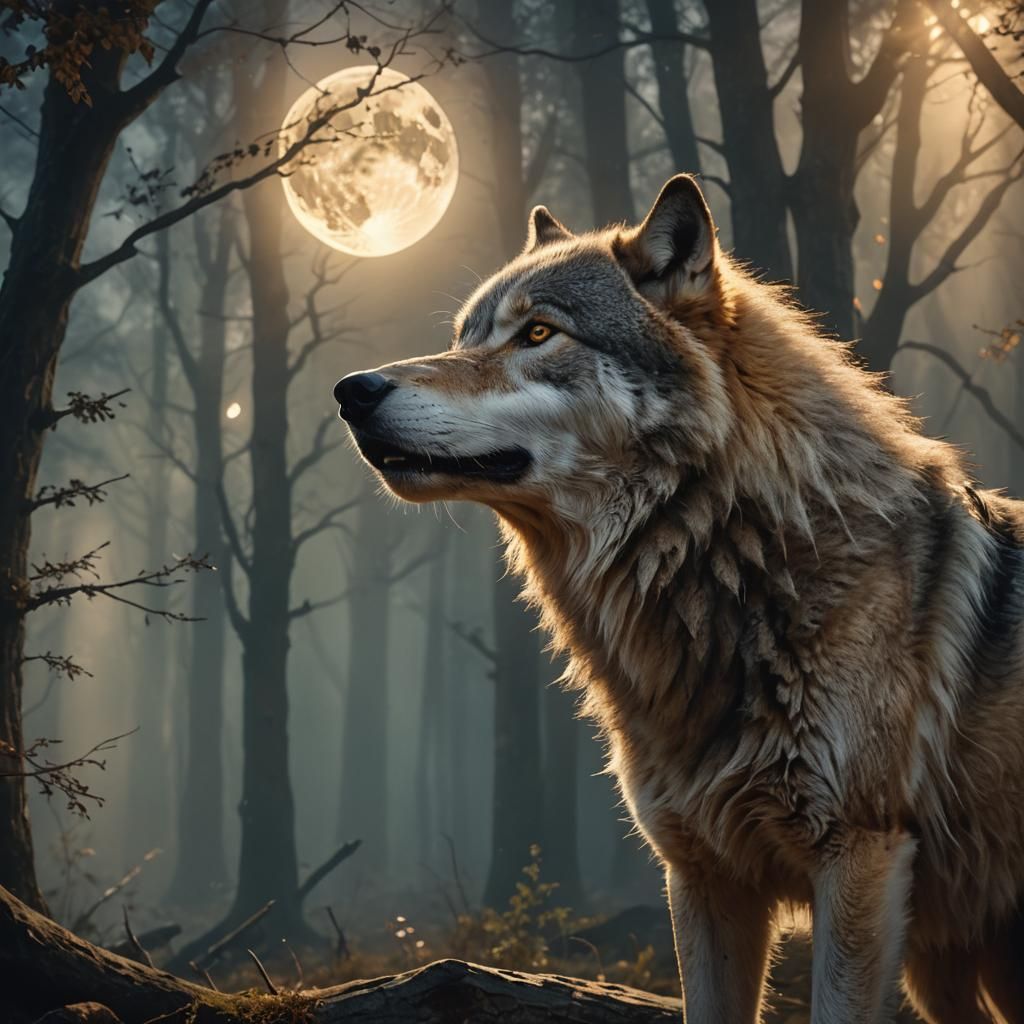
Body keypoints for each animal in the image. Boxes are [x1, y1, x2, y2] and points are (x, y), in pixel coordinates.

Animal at [334, 174, 1024, 1023]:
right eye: (466, 337)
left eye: (538, 332)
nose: (352, 391)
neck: (742, 567)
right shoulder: (702, 873)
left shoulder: (858, 856)